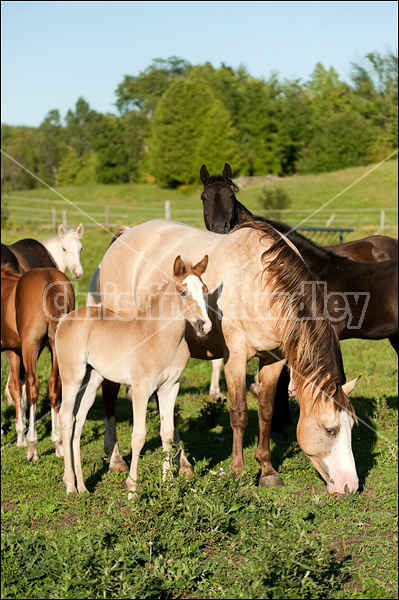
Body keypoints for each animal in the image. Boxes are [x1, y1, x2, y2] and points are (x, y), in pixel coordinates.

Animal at [1, 264, 75, 460]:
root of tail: (49, 278)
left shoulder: (13, 352)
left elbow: (16, 389)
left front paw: (20, 437)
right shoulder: (15, 351)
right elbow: (17, 390)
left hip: (31, 346)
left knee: (33, 385)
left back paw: (32, 446)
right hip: (55, 345)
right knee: (54, 386)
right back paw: (58, 444)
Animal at [98, 218, 360, 494]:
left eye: (352, 426)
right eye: (330, 430)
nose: (350, 485)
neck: (262, 285)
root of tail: (125, 235)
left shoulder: (274, 360)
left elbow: (266, 411)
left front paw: (267, 470)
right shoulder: (235, 360)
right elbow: (239, 414)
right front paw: (237, 471)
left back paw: (183, 465)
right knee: (109, 394)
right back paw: (116, 459)